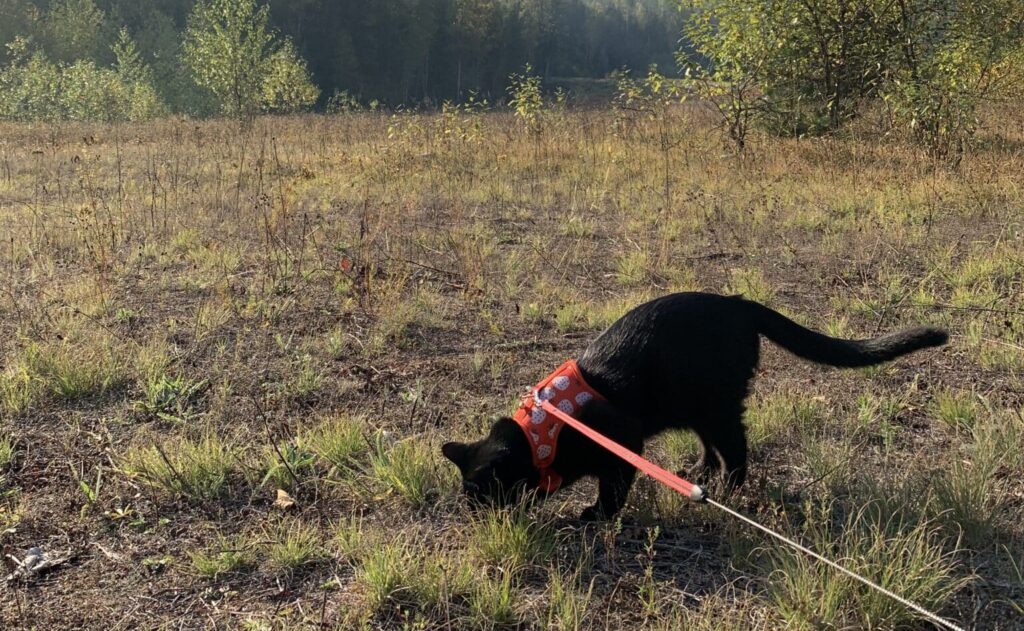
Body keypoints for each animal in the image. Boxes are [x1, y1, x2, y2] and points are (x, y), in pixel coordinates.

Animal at [444, 292, 946, 520]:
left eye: (481, 498)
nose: (475, 520)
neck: (544, 433)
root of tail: (739, 302)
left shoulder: (623, 442)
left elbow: (613, 490)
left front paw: (596, 517)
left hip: (719, 405)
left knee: (737, 450)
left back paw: (727, 489)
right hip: (696, 406)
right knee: (712, 445)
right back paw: (701, 473)